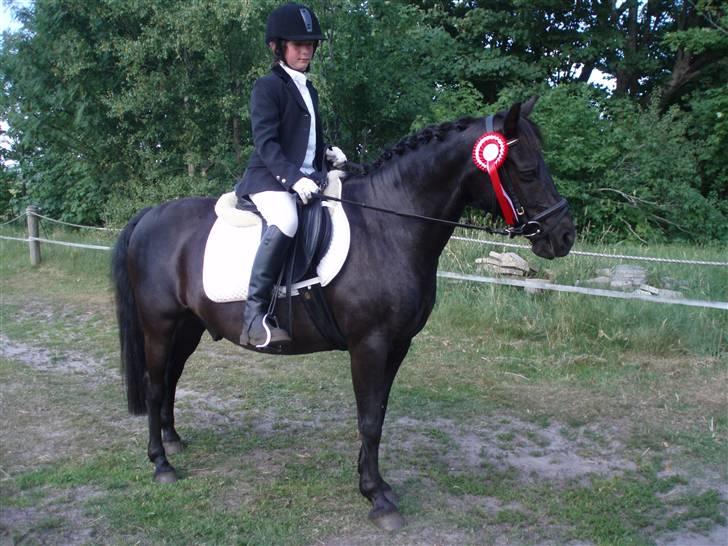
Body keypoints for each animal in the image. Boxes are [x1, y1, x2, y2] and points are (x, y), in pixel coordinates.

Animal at [111, 97, 575, 531]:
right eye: (528, 171)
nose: (564, 236)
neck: (388, 227)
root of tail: (149, 215)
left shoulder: (398, 345)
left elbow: (380, 413)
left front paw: (374, 483)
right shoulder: (369, 344)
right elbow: (368, 418)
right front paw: (377, 499)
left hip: (187, 327)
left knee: (171, 378)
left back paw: (173, 440)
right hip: (159, 325)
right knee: (155, 386)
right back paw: (161, 464)